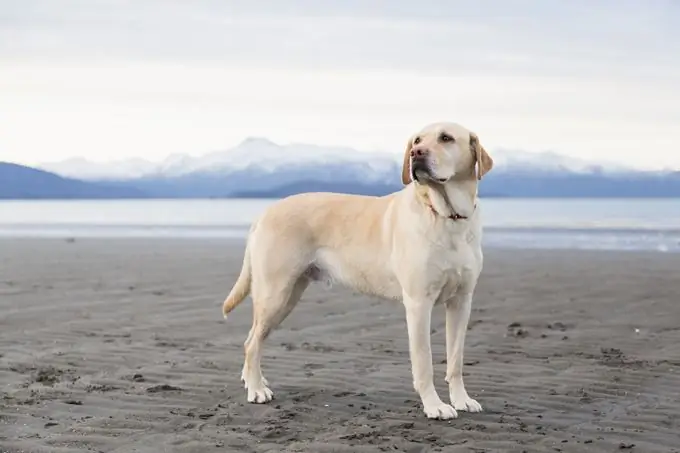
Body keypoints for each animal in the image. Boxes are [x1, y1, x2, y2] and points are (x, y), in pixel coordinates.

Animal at [223, 122, 494, 418]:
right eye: (417, 140)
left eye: (446, 138)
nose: (416, 153)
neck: (447, 216)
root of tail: (265, 211)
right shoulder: (418, 303)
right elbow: (424, 362)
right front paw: (434, 405)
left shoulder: (461, 302)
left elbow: (456, 360)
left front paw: (461, 399)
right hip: (275, 294)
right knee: (251, 343)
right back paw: (256, 389)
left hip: (288, 295)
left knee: (255, 340)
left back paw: (255, 381)